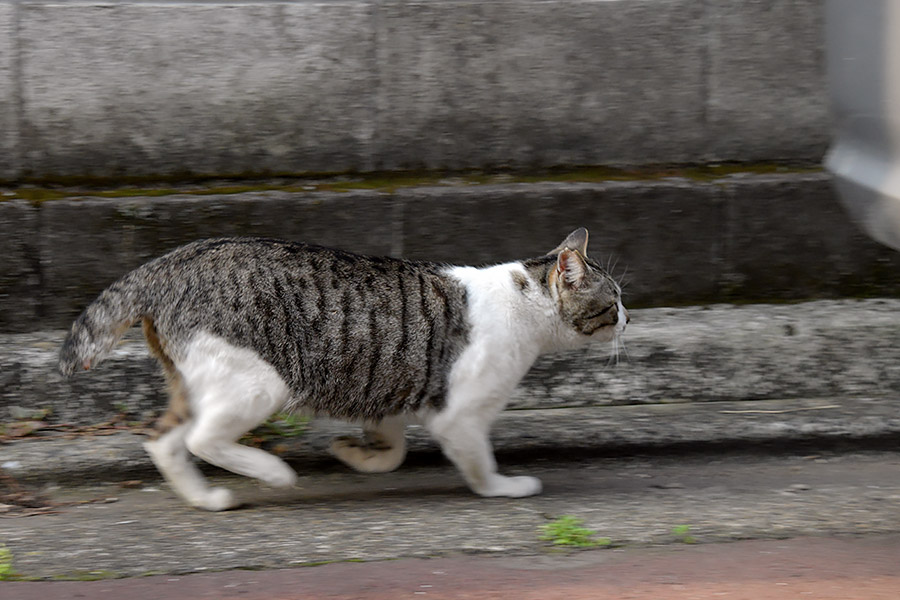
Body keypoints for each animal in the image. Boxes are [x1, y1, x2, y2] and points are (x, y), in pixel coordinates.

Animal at [59, 227, 628, 508]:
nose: (630, 316)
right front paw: (503, 489)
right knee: (202, 438)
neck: (526, 302)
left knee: (163, 439)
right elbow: (478, 465)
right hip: (258, 382)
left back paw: (207, 499)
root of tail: (167, 264)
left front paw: (357, 455)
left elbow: (394, 448)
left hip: (195, 381)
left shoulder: (395, 382)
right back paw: (273, 473)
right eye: (613, 301)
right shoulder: (460, 416)